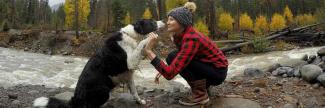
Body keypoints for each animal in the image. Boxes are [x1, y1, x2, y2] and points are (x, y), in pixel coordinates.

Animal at [33, 19, 165, 108]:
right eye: (152, 22)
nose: (163, 20)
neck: (131, 36)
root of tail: (76, 100)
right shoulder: (130, 62)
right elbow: (142, 43)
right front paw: (149, 38)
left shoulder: (128, 75)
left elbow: (134, 91)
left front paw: (140, 101)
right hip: (103, 90)